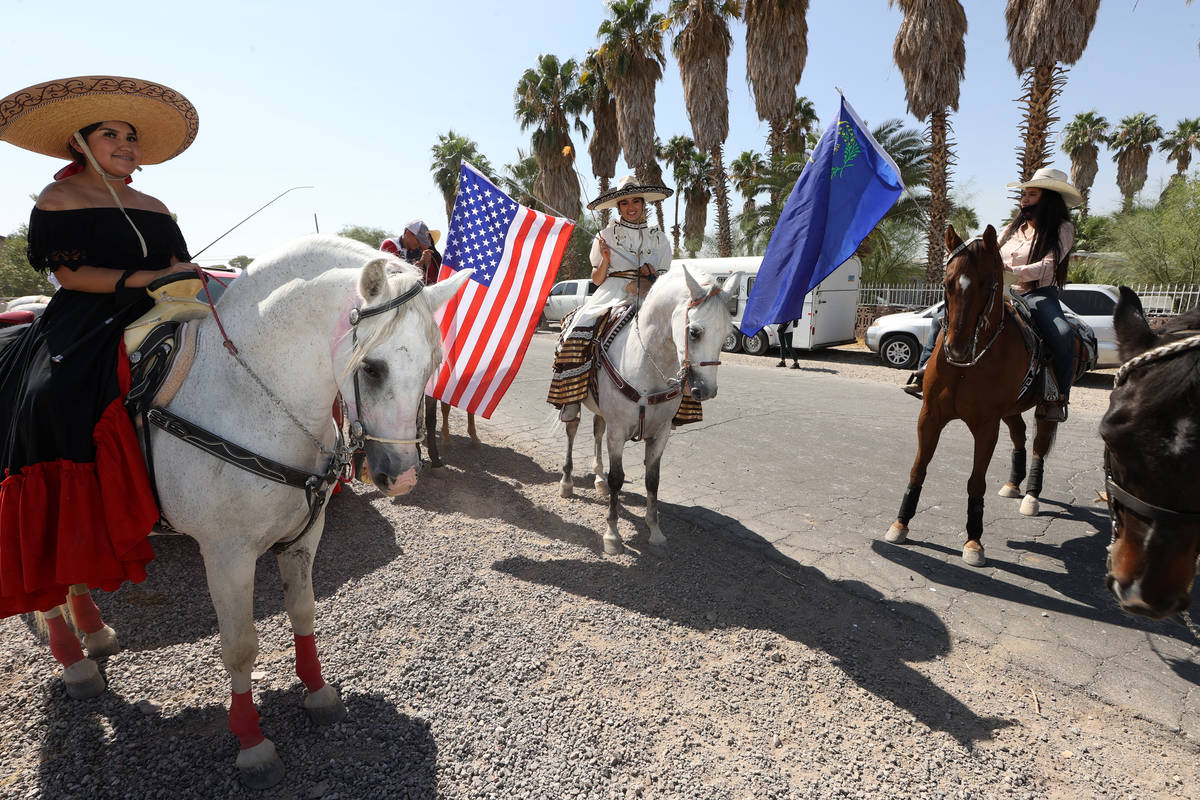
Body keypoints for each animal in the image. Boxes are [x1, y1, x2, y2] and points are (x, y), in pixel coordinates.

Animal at [30, 236, 470, 786]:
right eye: (371, 367)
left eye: (432, 363)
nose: (403, 476)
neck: (246, 396)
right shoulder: (226, 555)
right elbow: (240, 646)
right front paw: (252, 742)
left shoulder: (304, 537)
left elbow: (303, 611)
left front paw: (318, 694)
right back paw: (76, 665)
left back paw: (94, 635)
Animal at [556, 266, 734, 561]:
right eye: (694, 332)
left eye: (727, 334)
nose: (706, 390)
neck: (646, 363)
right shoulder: (618, 433)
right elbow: (618, 479)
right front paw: (612, 535)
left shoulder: (660, 435)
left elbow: (653, 480)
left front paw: (655, 531)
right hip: (573, 401)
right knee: (571, 431)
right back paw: (567, 482)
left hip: (602, 413)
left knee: (596, 432)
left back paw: (598, 479)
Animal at [883, 221, 1089, 566]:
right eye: (947, 283)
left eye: (989, 284)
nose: (957, 348)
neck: (967, 365)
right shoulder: (930, 417)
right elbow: (918, 469)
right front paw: (900, 524)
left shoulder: (986, 426)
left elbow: (975, 481)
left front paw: (974, 541)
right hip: (1012, 410)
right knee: (1019, 436)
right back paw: (1013, 484)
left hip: (1044, 410)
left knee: (1038, 445)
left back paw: (1030, 496)